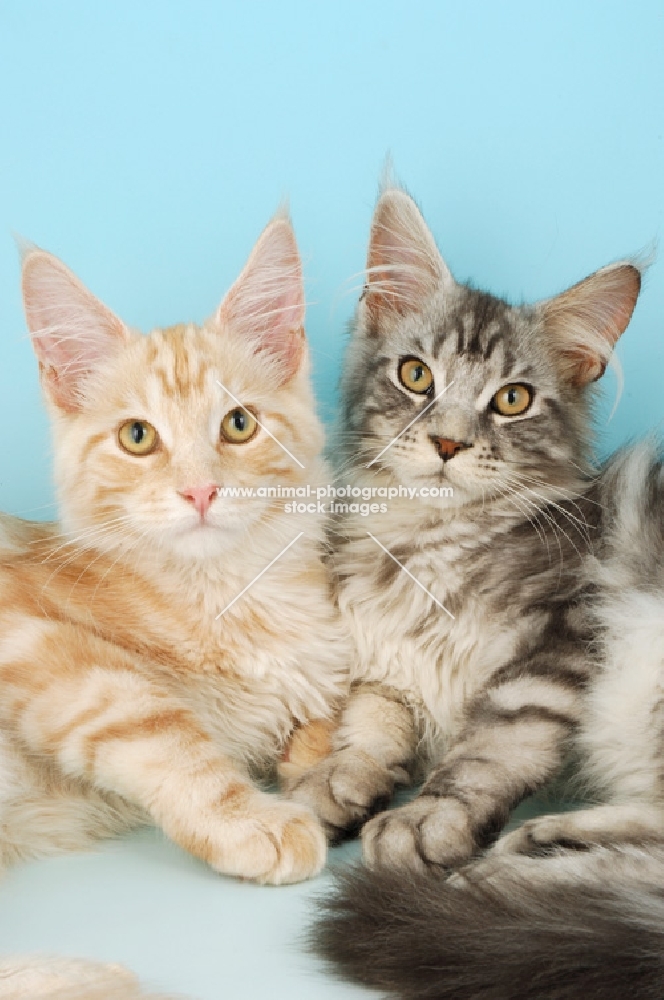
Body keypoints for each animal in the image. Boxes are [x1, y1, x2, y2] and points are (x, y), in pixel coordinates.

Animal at [0, 211, 348, 892]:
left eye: (239, 424)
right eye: (138, 436)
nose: (200, 490)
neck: (230, 596)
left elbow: (324, 726)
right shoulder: (24, 634)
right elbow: (150, 717)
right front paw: (250, 820)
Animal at [294, 189, 664, 1000]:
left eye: (513, 399)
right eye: (416, 376)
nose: (448, 444)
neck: (425, 548)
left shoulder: (560, 640)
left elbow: (489, 746)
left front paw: (425, 820)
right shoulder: (383, 659)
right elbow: (372, 724)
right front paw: (336, 780)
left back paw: (501, 886)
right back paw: (548, 844)